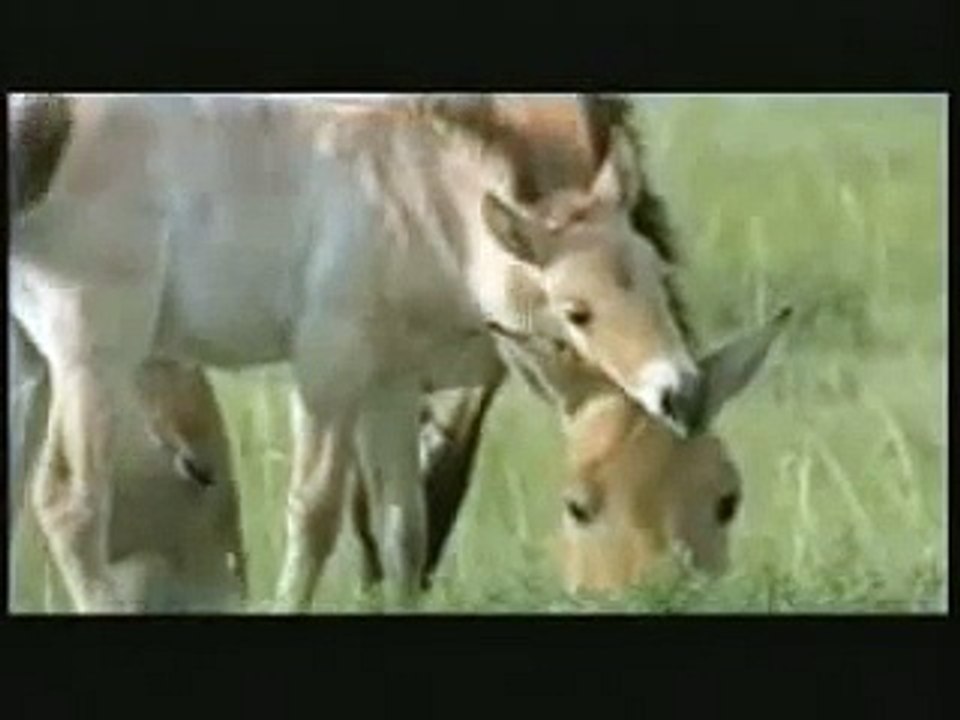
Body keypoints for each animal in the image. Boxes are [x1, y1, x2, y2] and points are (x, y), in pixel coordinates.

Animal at [10, 93, 701, 612]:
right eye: (577, 311)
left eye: (655, 272)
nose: (681, 392)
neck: (407, 191)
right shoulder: (328, 372)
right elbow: (315, 512)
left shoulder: (390, 386)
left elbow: (404, 527)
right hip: (92, 360)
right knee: (69, 505)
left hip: (30, 369)